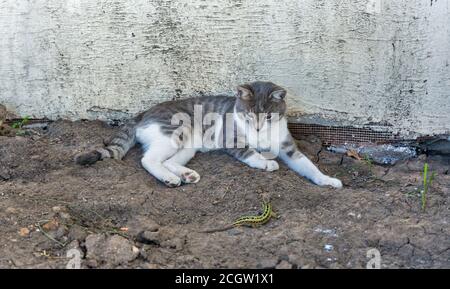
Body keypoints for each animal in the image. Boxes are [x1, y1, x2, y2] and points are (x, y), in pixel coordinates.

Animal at [75, 81, 342, 189]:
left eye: (268, 116)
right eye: (248, 115)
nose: (256, 128)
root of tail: (141, 114)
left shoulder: (288, 148)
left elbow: (309, 166)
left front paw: (327, 180)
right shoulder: (230, 140)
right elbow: (251, 153)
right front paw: (266, 163)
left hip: (187, 145)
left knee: (168, 161)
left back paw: (185, 175)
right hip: (175, 131)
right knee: (147, 160)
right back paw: (169, 179)